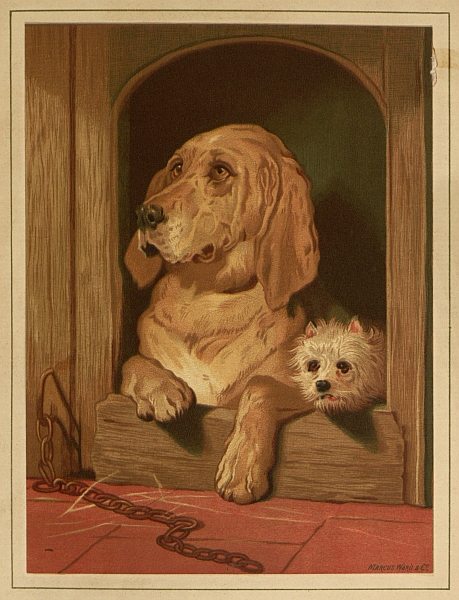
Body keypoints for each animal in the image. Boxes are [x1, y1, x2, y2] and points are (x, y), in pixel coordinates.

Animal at [124, 123, 322, 502]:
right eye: (176, 167)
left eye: (220, 171)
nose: (145, 214)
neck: (206, 303)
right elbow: (132, 363)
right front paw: (162, 389)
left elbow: (261, 386)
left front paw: (241, 466)